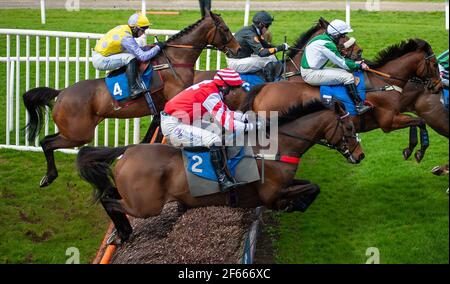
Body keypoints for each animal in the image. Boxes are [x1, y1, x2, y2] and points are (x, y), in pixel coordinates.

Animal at [22, 11, 241, 187]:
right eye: (225, 28)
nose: (238, 49)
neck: (175, 60)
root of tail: (61, 93)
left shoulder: (161, 108)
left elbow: (156, 130)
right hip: (79, 133)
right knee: (47, 142)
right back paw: (49, 176)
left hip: (73, 132)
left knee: (46, 140)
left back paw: (48, 176)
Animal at [77, 100, 366, 242]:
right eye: (350, 128)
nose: (360, 155)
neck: (275, 147)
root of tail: (129, 149)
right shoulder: (271, 192)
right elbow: (310, 189)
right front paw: (295, 204)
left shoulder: (286, 182)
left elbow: (313, 186)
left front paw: (296, 203)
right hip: (146, 206)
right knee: (109, 201)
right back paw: (124, 232)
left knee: (109, 194)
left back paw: (121, 233)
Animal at [239, 38, 442, 162]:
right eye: (434, 64)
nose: (439, 86)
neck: (384, 81)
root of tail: (264, 88)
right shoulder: (388, 121)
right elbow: (420, 121)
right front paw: (418, 150)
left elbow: (417, 122)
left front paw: (410, 150)